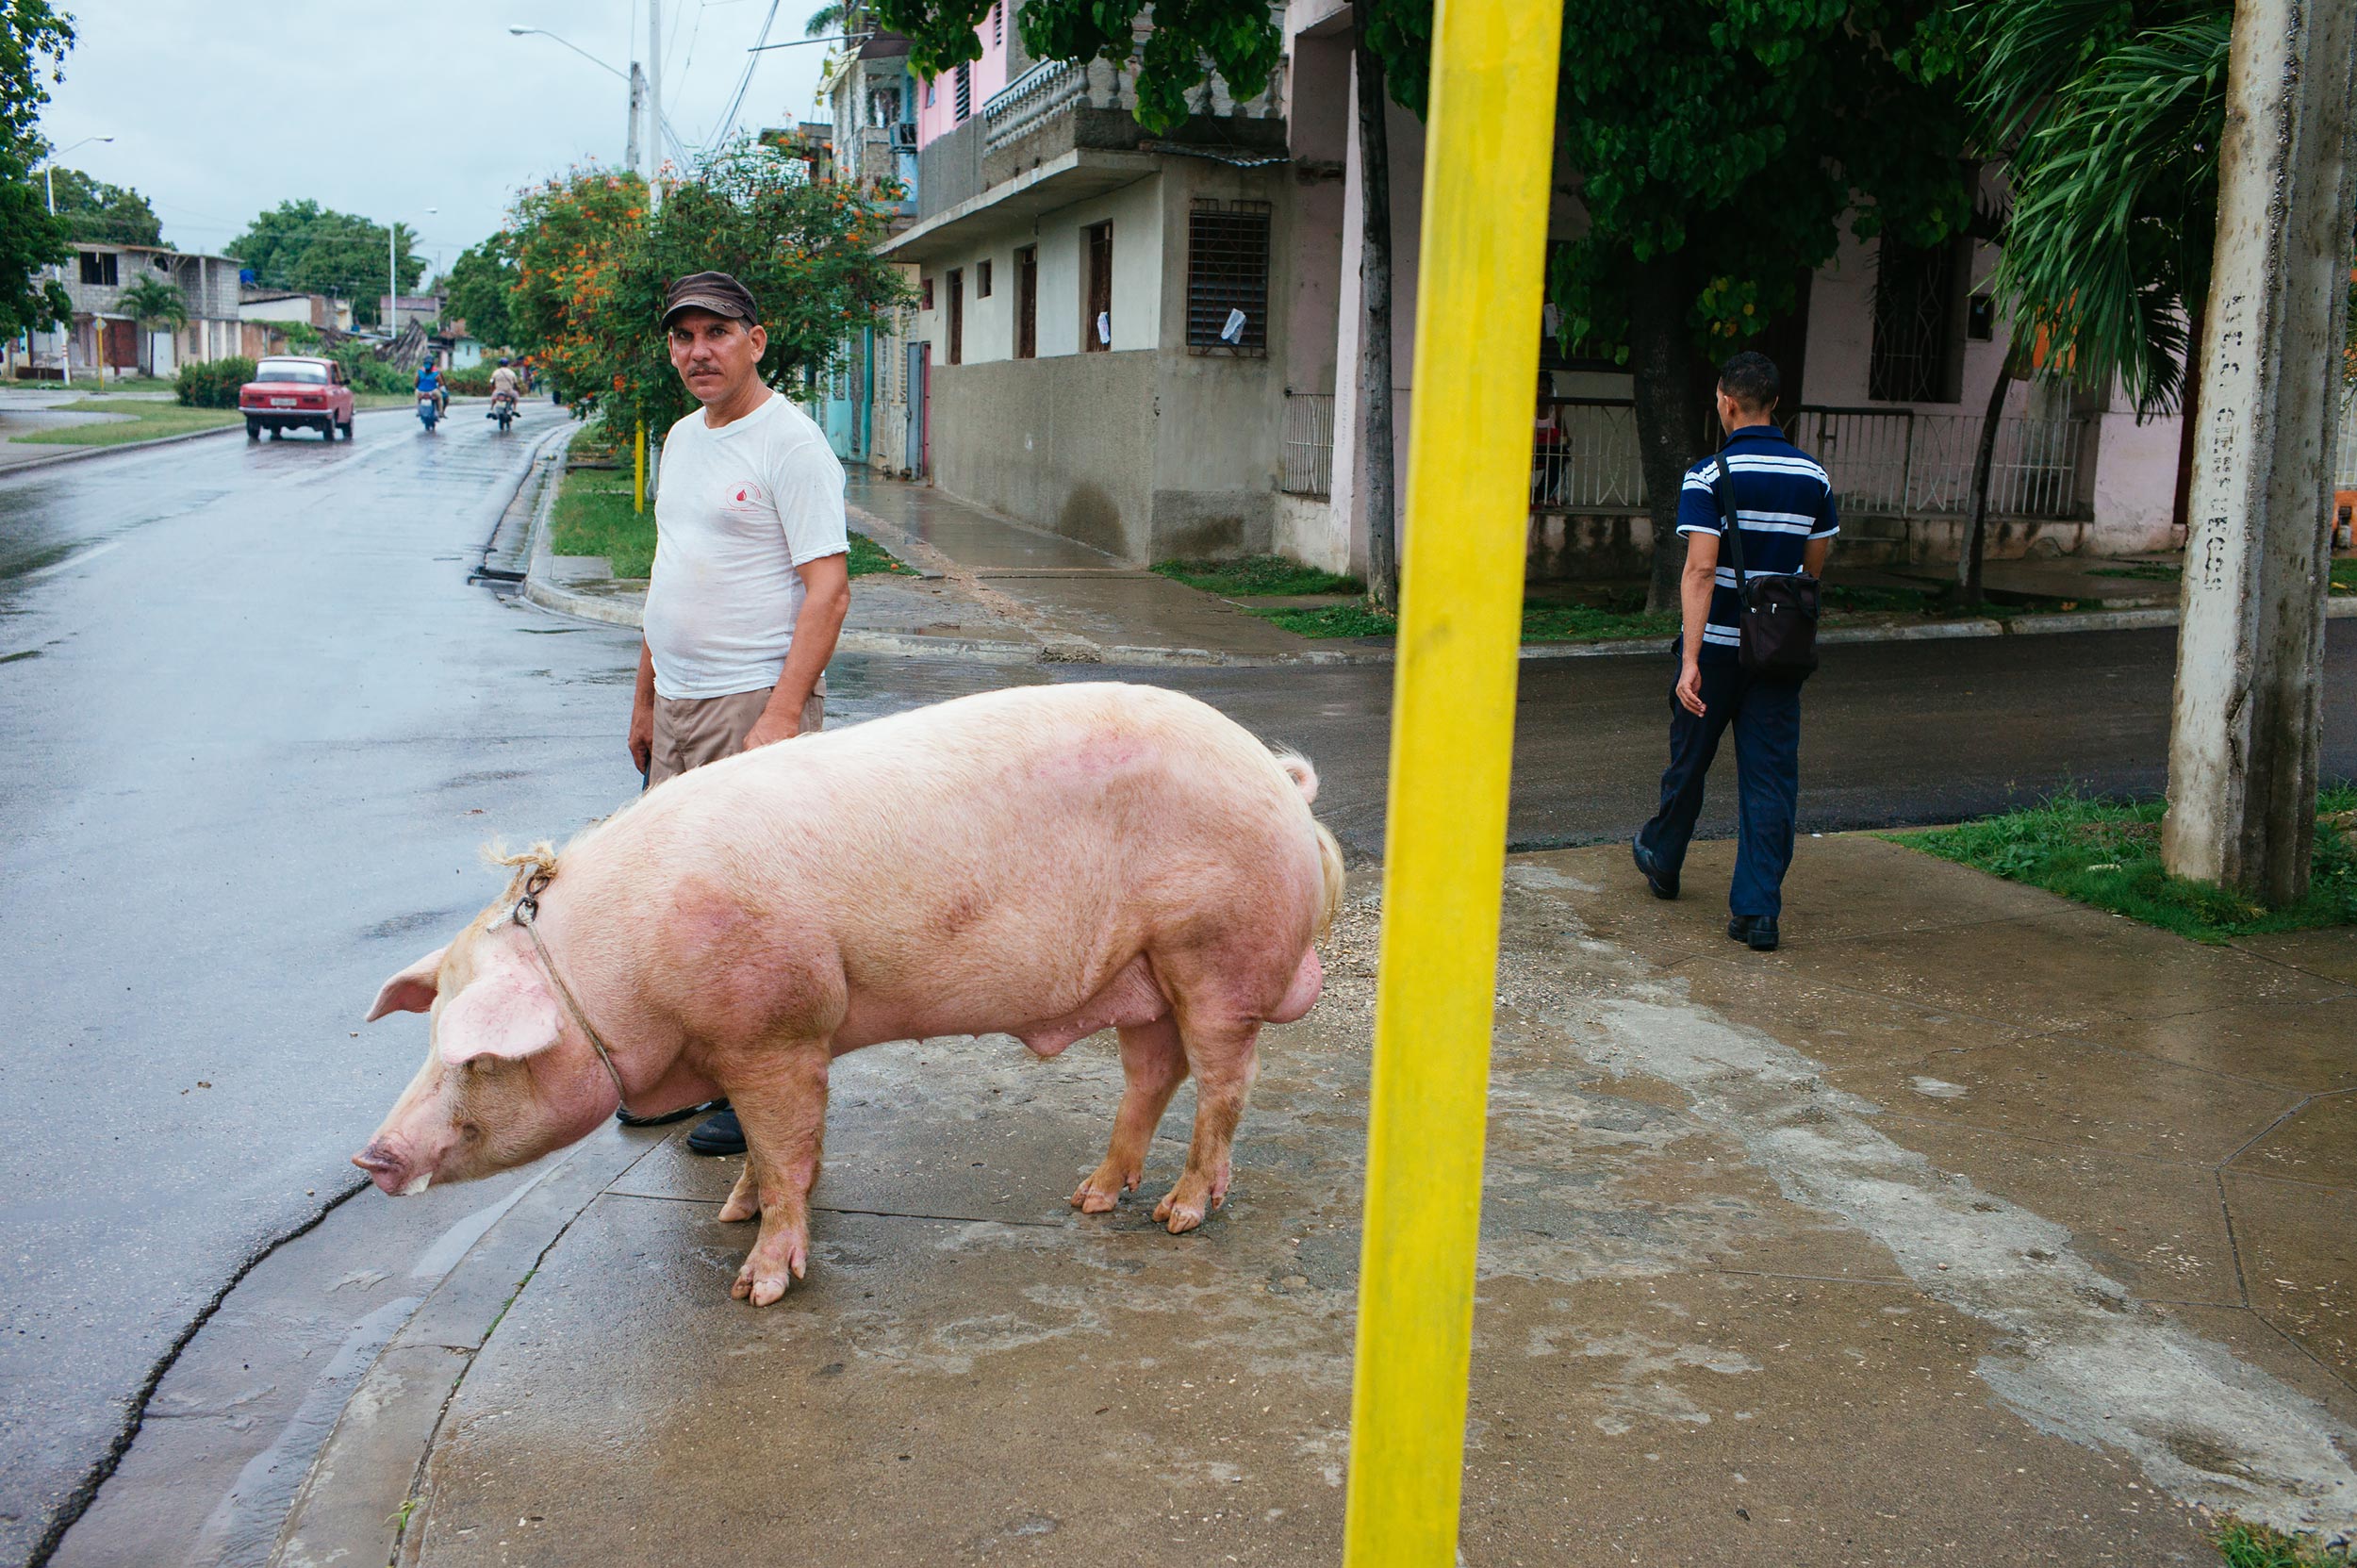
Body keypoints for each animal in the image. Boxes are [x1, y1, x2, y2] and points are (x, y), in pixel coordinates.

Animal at [356, 682, 1343, 1305]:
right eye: (430, 1031)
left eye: (479, 1060)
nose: (372, 1156)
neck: (620, 969)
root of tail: (1279, 779)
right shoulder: (757, 1043)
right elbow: (765, 1150)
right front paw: (731, 1210)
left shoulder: (777, 1025)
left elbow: (786, 1147)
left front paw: (756, 1287)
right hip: (1140, 972)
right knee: (1153, 1074)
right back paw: (1090, 1198)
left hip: (1213, 952)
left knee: (1224, 1083)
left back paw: (1180, 1216)